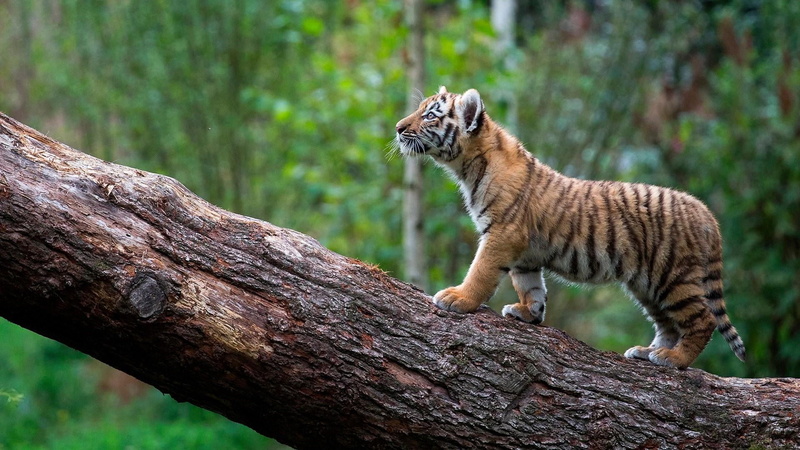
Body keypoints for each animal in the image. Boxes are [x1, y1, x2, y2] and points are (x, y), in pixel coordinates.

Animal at [393, 86, 746, 369]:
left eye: (429, 116)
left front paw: (458, 299)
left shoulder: (502, 235)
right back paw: (648, 353)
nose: (398, 128)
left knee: (702, 319)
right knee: (668, 324)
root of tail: (705, 212)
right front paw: (529, 312)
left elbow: (480, 271)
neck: (468, 169)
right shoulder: (524, 253)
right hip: (647, 285)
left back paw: (675, 359)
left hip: (673, 276)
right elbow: (529, 284)